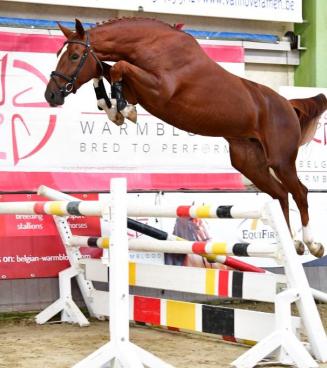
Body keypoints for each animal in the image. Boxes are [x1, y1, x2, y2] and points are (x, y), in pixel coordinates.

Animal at [44, 18, 327, 258]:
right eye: (60, 55)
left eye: (74, 56)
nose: (51, 95)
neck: (151, 45)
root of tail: (288, 105)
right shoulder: (138, 87)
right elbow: (104, 70)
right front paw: (114, 109)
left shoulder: (159, 89)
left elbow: (117, 70)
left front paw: (123, 110)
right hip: (249, 163)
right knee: (280, 194)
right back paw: (292, 243)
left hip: (281, 160)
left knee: (299, 192)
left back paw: (312, 244)